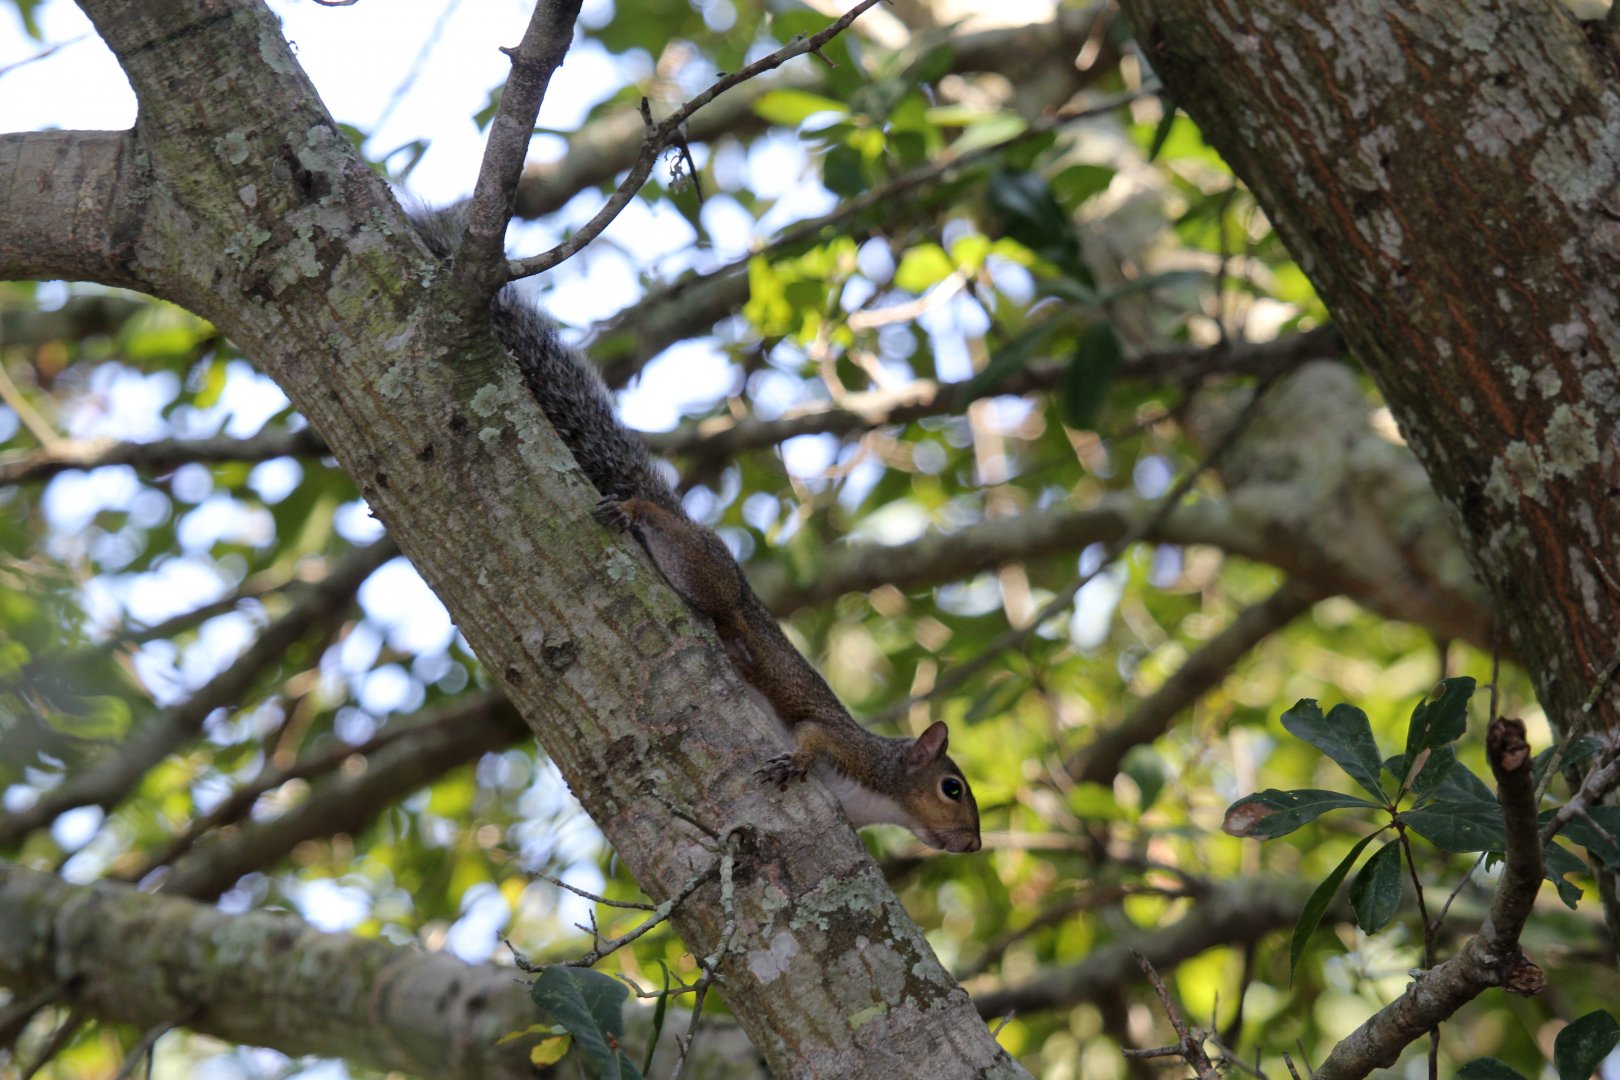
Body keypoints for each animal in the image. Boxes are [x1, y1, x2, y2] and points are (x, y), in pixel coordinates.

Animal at [416, 210, 981, 853]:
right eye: (952, 788)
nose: (973, 844)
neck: (883, 791)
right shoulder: (846, 745)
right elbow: (812, 736)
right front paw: (795, 763)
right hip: (706, 572)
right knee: (685, 556)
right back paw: (640, 517)